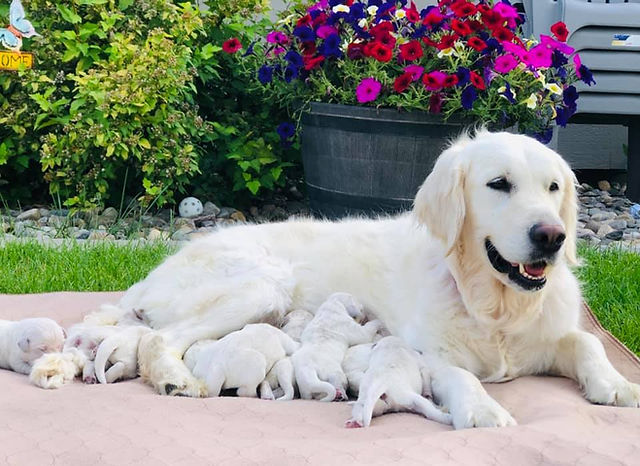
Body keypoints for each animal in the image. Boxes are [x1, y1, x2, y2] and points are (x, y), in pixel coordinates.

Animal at [42, 131, 636, 430]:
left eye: (553, 187)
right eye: (499, 184)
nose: (552, 236)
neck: (496, 305)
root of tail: (154, 273)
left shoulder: (553, 333)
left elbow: (586, 342)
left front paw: (617, 384)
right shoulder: (432, 356)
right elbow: (463, 377)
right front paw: (484, 410)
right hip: (261, 284)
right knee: (158, 340)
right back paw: (175, 378)